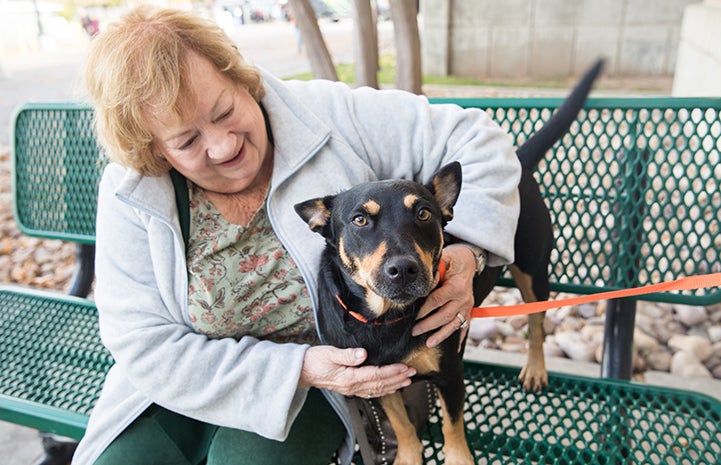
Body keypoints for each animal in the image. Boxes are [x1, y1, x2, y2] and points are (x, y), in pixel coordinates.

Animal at [292, 59, 600, 462]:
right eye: (359, 220)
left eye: (424, 213)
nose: (403, 270)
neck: (387, 318)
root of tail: (516, 160)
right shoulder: (380, 379)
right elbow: (402, 425)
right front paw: (409, 455)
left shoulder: (450, 373)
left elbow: (453, 425)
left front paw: (458, 456)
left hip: (534, 271)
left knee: (536, 323)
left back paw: (535, 368)